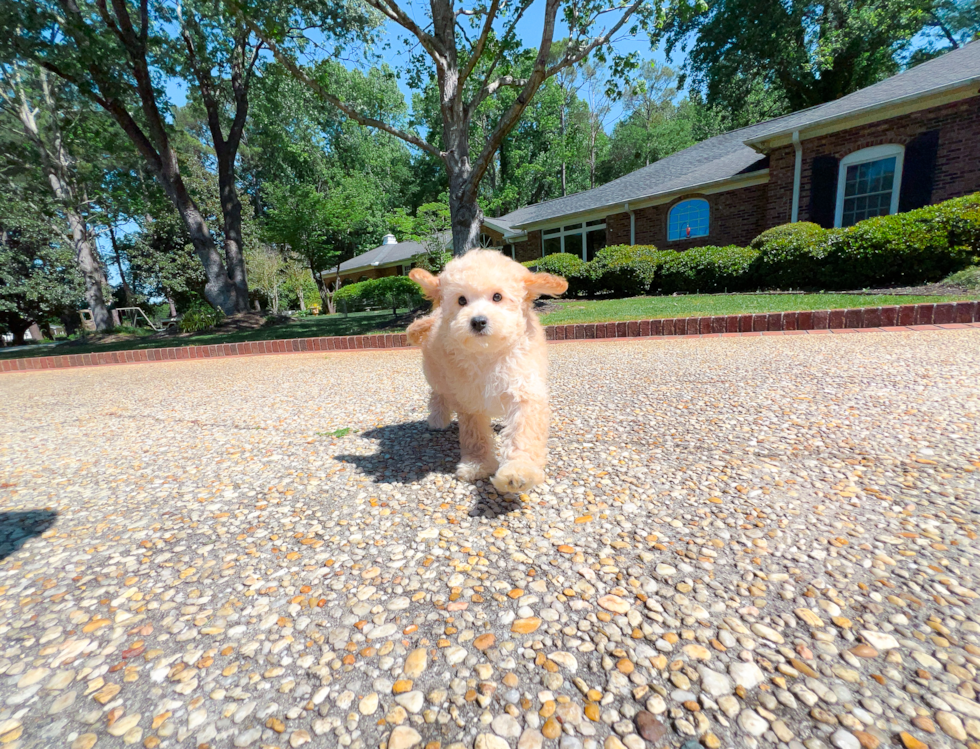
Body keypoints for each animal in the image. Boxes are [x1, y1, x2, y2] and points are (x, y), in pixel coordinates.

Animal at [406, 251, 568, 494]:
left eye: (497, 297)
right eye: (461, 300)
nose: (478, 321)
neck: (488, 354)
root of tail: (434, 315)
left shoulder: (524, 388)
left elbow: (524, 432)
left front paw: (519, 471)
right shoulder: (469, 398)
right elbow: (475, 433)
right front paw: (478, 465)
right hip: (436, 371)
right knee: (438, 393)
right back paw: (437, 418)